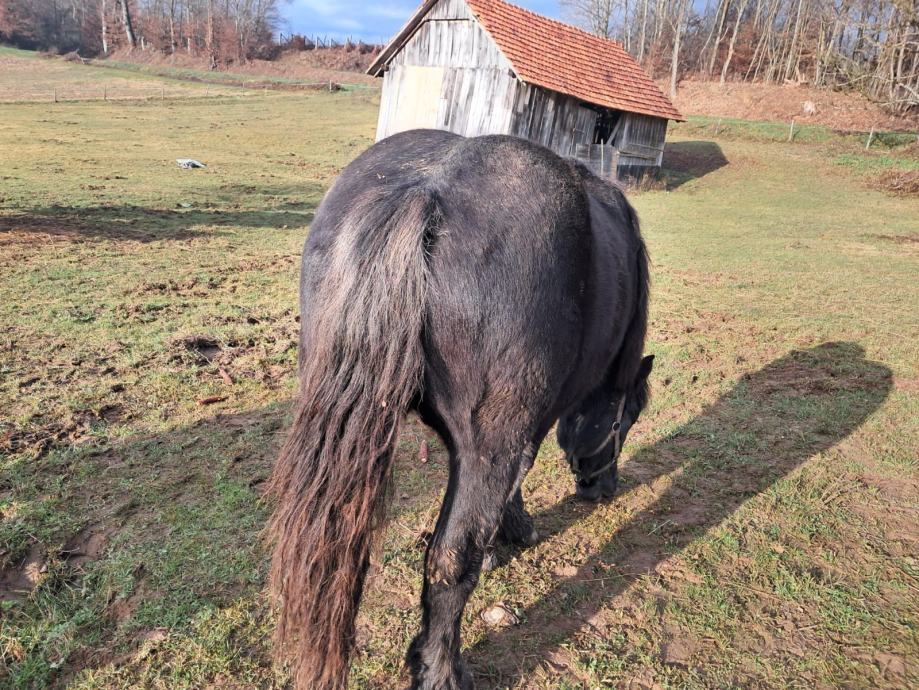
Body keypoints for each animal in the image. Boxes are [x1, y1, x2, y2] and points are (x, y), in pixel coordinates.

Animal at [268, 129, 654, 690]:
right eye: (628, 420)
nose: (603, 490)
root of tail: (423, 194)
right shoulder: (515, 436)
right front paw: (513, 535)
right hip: (488, 446)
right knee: (450, 558)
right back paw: (440, 669)